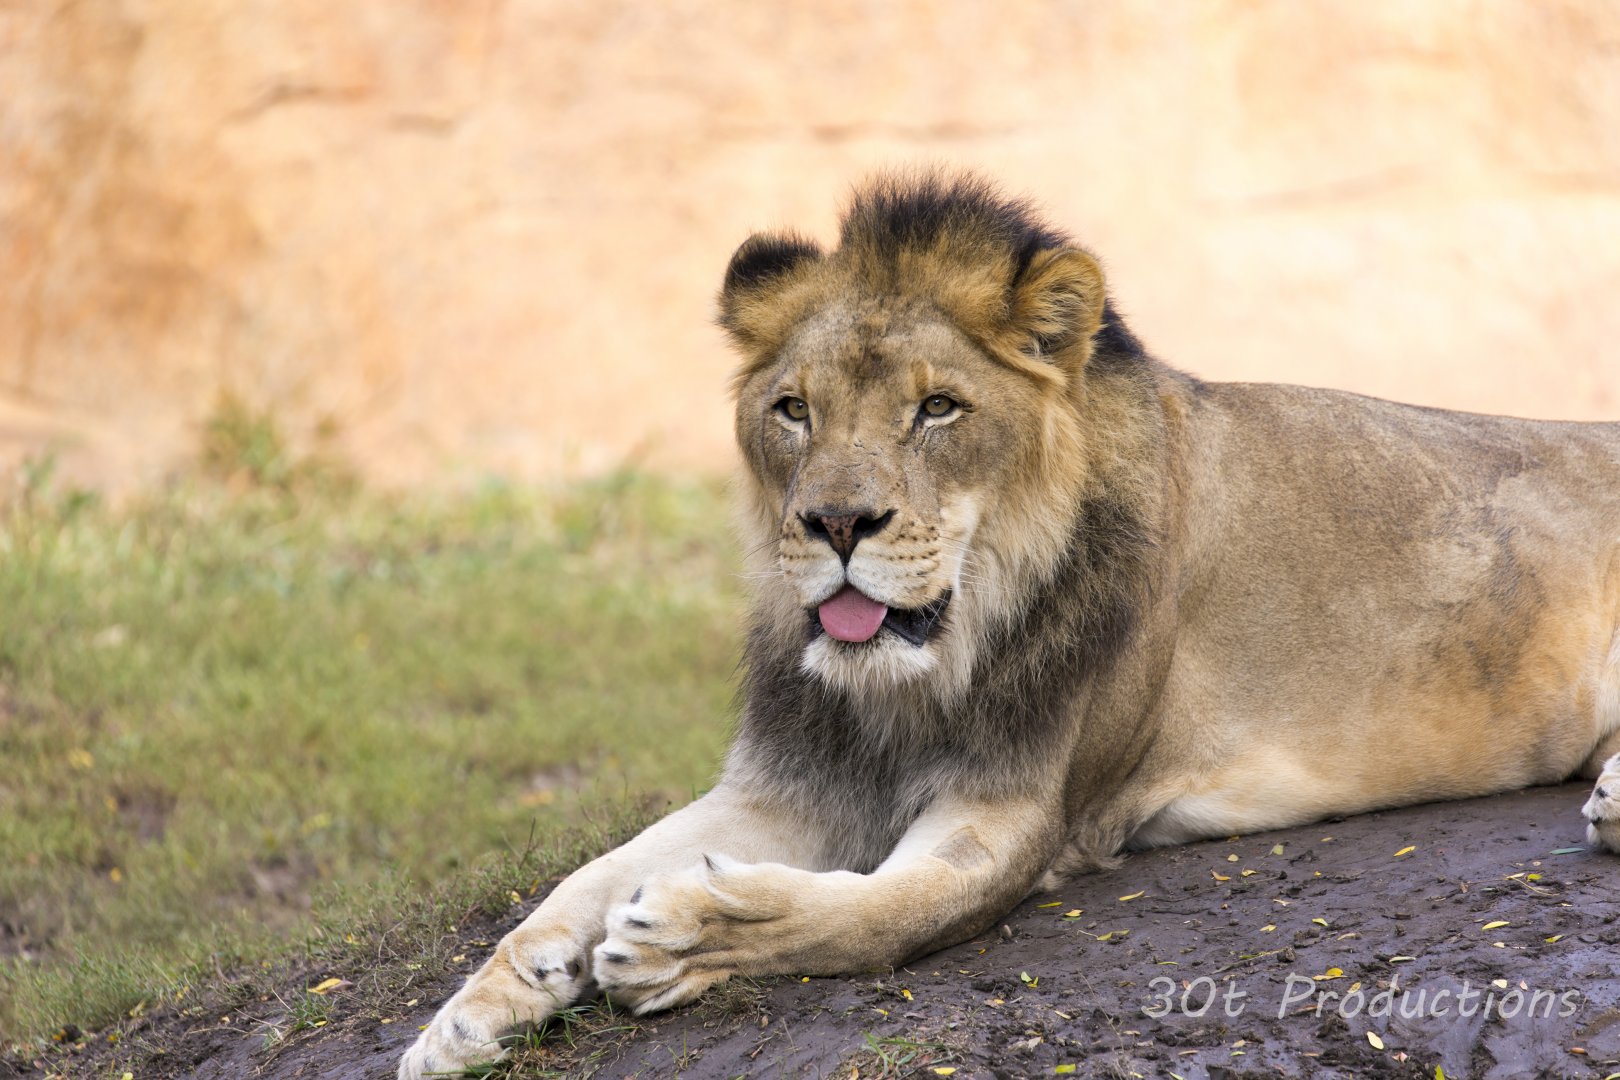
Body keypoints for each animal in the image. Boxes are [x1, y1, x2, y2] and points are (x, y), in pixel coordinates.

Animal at [400, 172, 1620, 1078]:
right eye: (793, 410)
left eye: (938, 409)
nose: (836, 522)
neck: (914, 674)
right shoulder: (786, 781)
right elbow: (581, 878)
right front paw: (476, 1010)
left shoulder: (1022, 813)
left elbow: (868, 918)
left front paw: (691, 935)